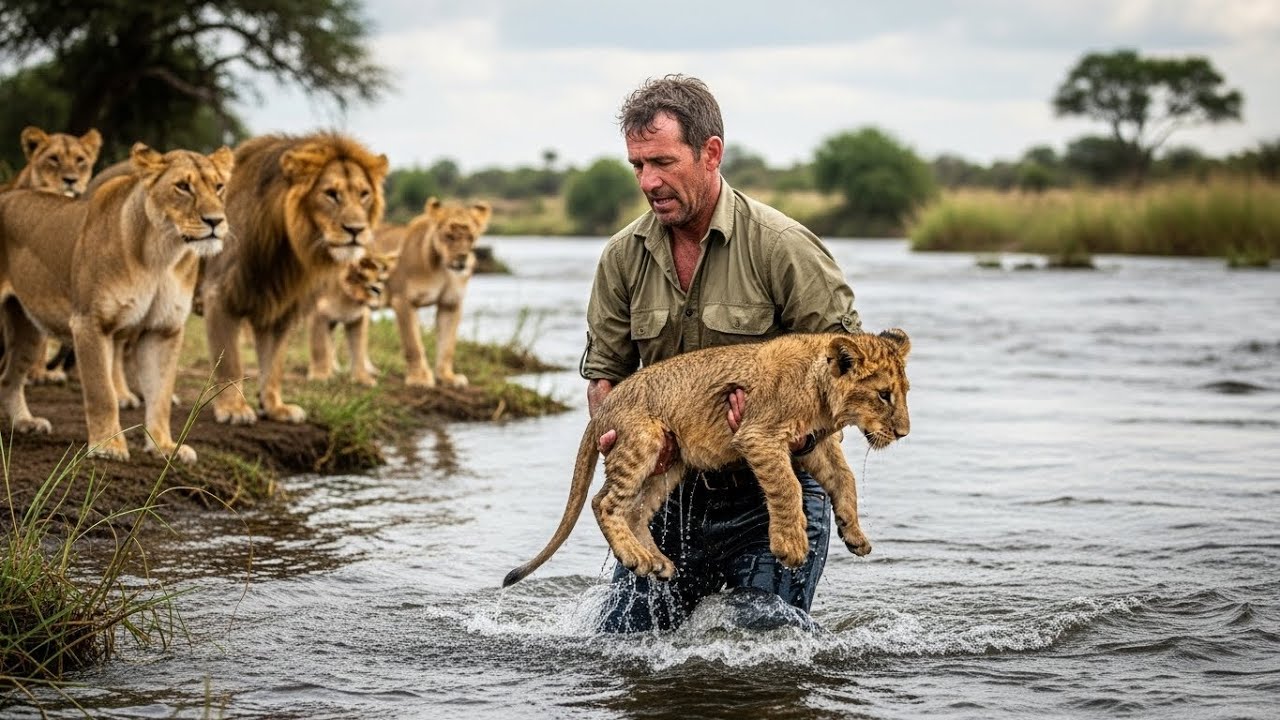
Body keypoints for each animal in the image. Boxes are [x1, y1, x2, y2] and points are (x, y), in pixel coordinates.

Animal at [0, 143, 233, 463]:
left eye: (219, 186)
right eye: (183, 187)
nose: (215, 221)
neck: (162, 255)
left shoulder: (163, 331)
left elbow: (161, 395)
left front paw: (164, 446)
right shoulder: (90, 322)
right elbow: (102, 392)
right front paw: (108, 446)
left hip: (30, 331)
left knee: (8, 379)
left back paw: (26, 422)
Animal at [200, 132, 388, 424]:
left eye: (364, 194)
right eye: (331, 194)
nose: (357, 230)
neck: (287, 250)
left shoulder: (279, 307)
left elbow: (273, 364)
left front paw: (275, 407)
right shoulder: (220, 296)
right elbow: (230, 362)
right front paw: (233, 409)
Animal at [306, 250, 398, 386]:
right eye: (376, 289)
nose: (382, 305)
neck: (349, 300)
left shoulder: (357, 319)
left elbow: (358, 349)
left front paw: (362, 378)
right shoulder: (317, 315)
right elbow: (320, 346)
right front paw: (320, 375)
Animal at [372, 197, 491, 388]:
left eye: (470, 237)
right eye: (449, 236)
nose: (462, 257)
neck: (443, 269)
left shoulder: (450, 304)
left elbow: (447, 345)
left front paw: (448, 377)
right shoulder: (403, 300)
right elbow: (413, 343)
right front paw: (419, 378)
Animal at [503, 329, 912, 587]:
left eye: (904, 391)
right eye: (884, 394)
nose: (904, 433)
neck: (820, 392)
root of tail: (605, 407)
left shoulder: (814, 443)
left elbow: (845, 478)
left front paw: (854, 534)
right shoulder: (757, 434)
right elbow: (787, 486)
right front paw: (791, 545)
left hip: (670, 462)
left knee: (635, 511)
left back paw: (655, 561)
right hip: (642, 441)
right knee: (604, 502)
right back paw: (635, 557)